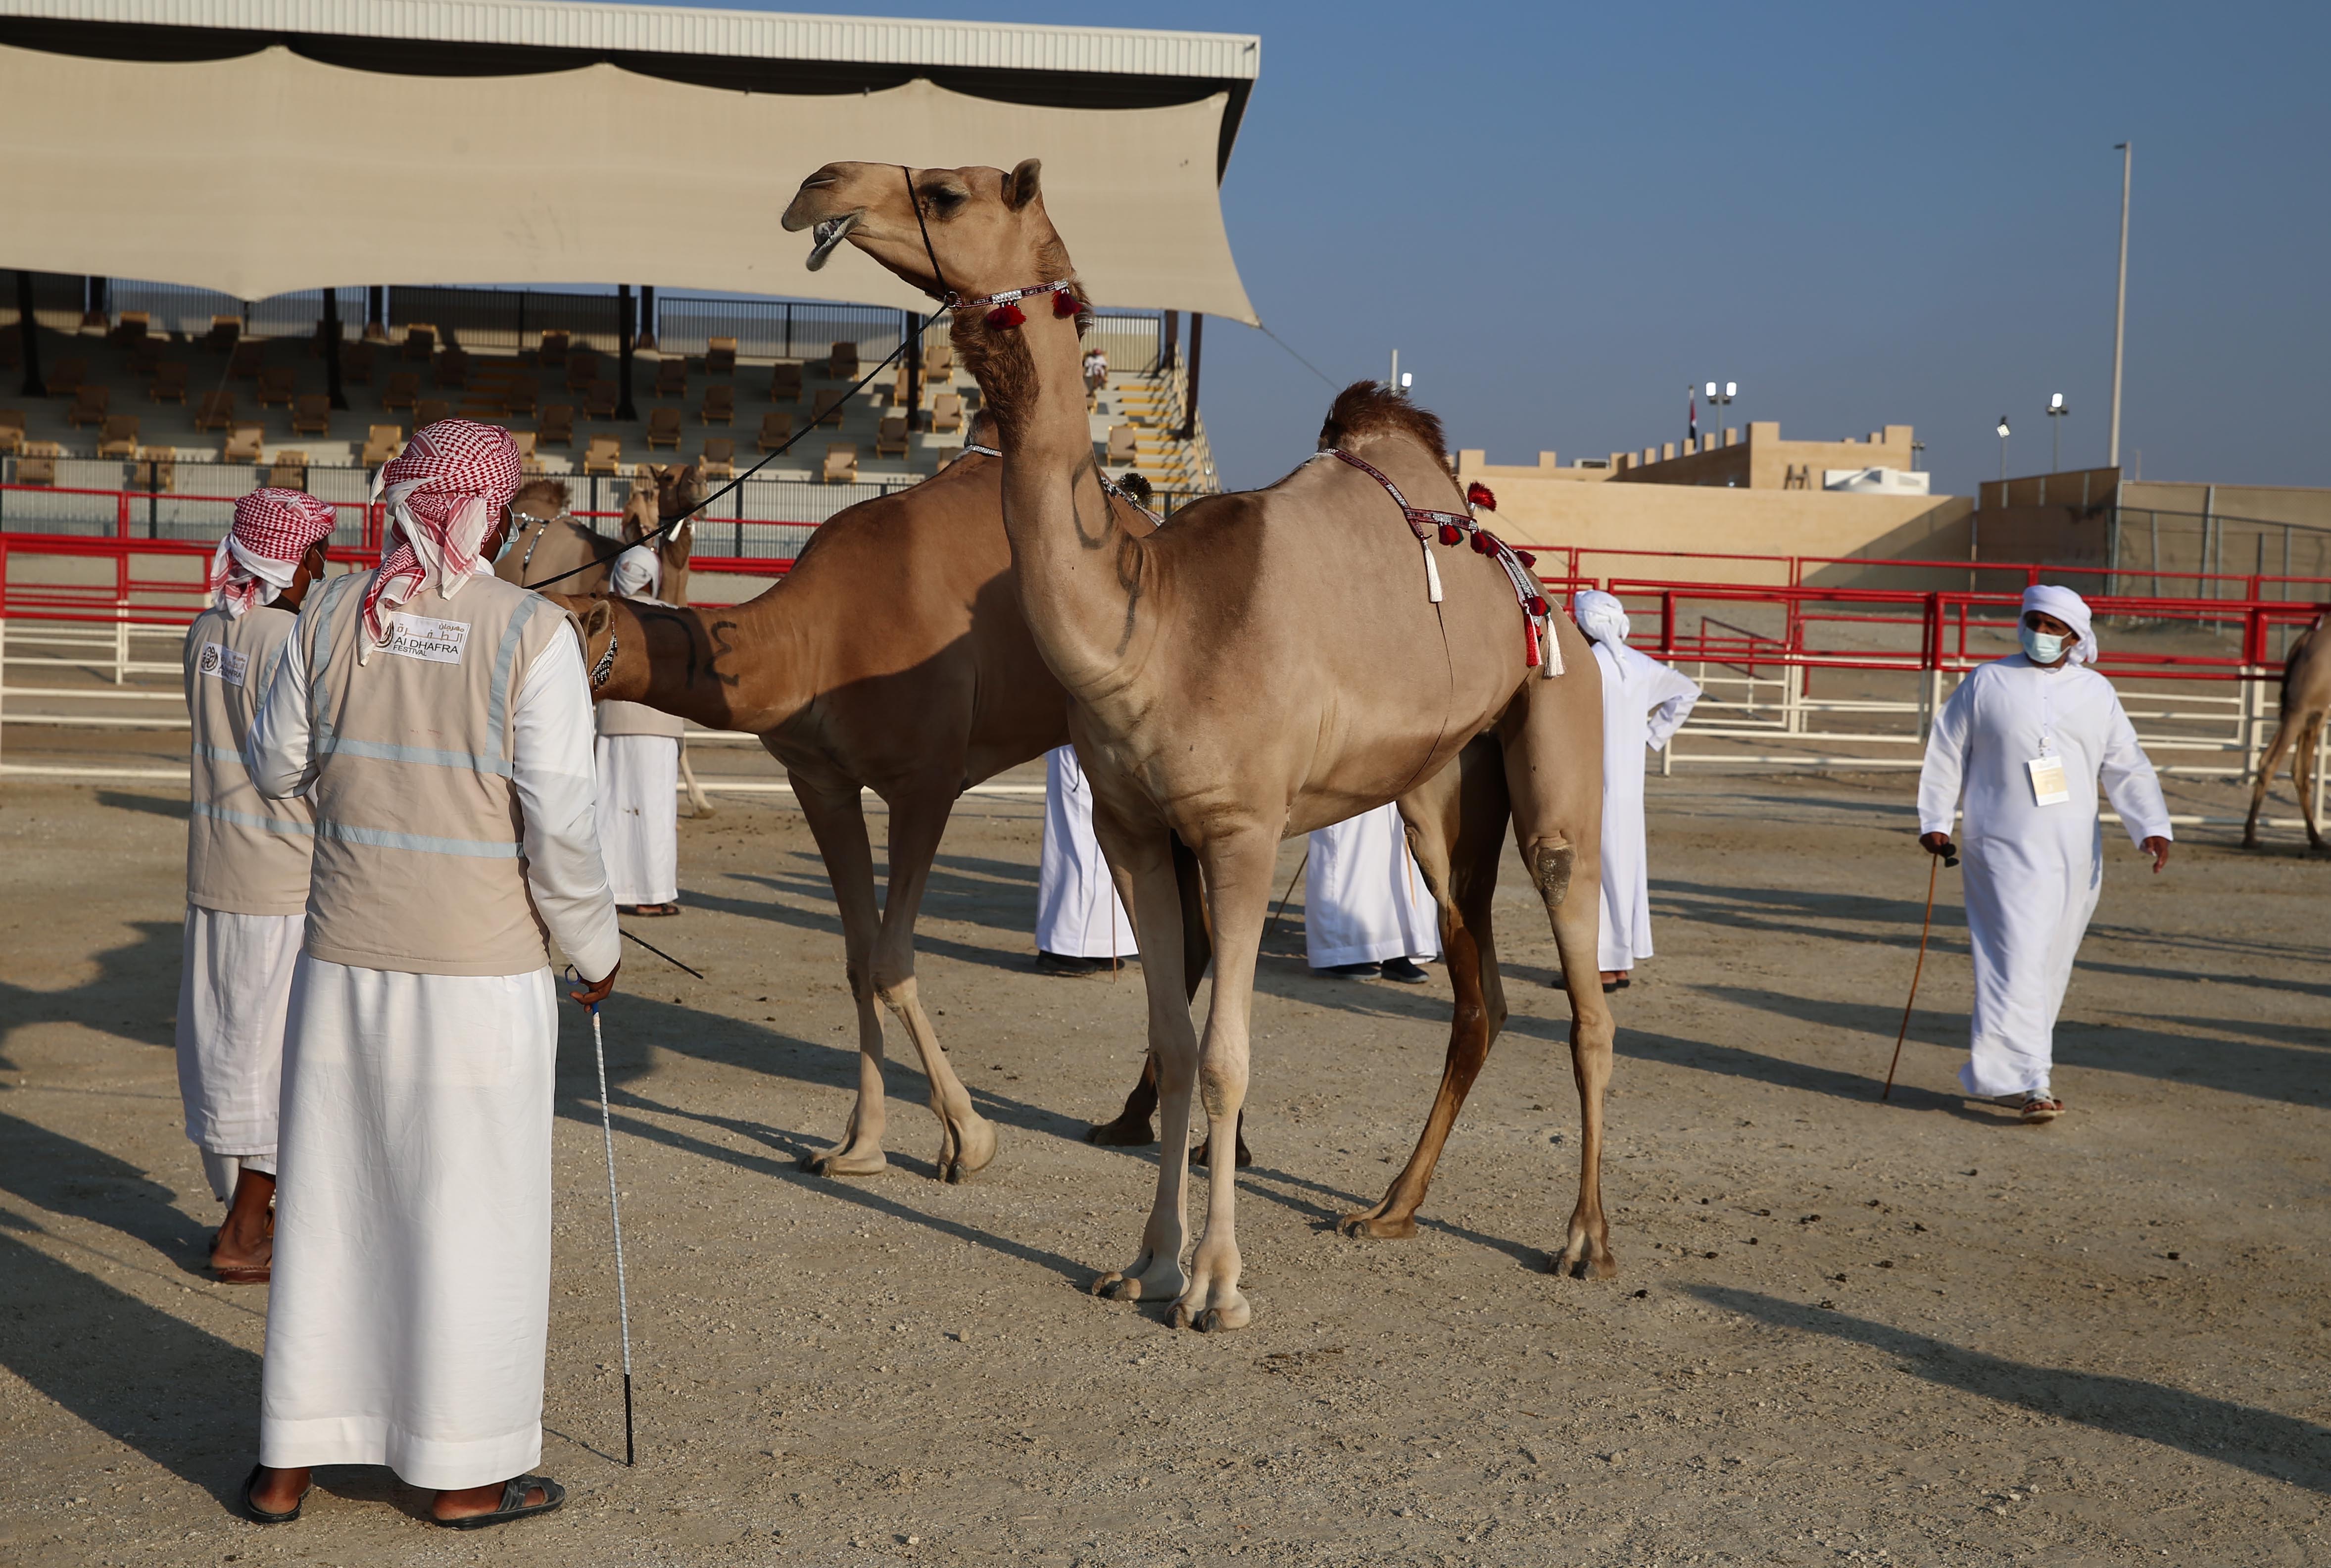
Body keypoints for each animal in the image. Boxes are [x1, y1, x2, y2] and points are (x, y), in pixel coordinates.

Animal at [559, 433, 1221, 1178]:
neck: (815, 643)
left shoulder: (924, 781)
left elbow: (890, 962)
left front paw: (968, 1139)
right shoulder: (821, 782)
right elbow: (857, 959)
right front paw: (857, 1147)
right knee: (1192, 939)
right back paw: (1131, 1120)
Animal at [783, 162, 1622, 1332]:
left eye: (946, 193)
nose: (820, 185)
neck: (1154, 626)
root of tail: (1535, 579)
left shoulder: (1240, 832)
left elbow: (1226, 1059)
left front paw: (1217, 1285)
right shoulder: (1133, 829)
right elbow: (1174, 1047)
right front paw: (1145, 1264)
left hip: (1556, 724)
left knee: (1583, 994)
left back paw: (1585, 1238)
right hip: (1441, 792)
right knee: (1479, 993)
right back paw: (1390, 1207)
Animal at [2237, 615, 2331, 857]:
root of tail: (2306, 640)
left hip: (2307, 712)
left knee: (2288, 767)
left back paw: (2316, 839)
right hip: (2305, 708)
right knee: (2277, 763)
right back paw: (2251, 838)